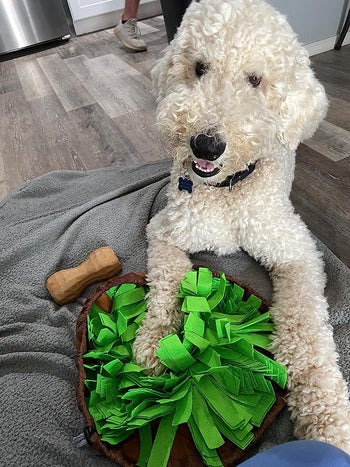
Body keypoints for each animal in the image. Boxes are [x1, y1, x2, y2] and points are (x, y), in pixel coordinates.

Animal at [133, 0, 348, 454]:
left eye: (255, 79)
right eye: (199, 68)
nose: (205, 144)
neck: (228, 189)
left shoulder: (297, 253)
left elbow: (305, 329)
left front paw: (326, 422)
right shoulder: (164, 231)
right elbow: (165, 284)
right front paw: (155, 342)